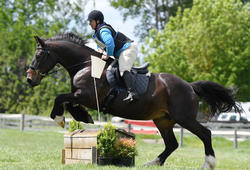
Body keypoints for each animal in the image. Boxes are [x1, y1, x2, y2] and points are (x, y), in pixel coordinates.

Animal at [25, 32, 240, 169]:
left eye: (39, 55)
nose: (29, 79)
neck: (86, 65)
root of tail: (189, 85)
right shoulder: (80, 97)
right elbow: (68, 102)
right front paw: (83, 117)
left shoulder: (87, 97)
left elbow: (60, 98)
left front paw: (59, 118)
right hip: (163, 119)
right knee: (171, 144)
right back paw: (153, 163)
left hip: (184, 118)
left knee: (205, 134)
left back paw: (208, 163)